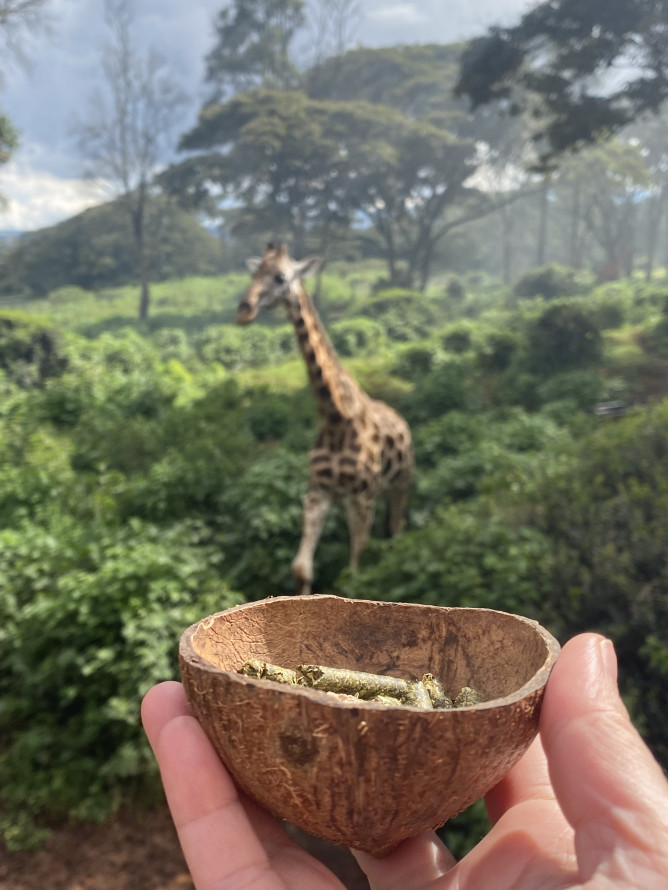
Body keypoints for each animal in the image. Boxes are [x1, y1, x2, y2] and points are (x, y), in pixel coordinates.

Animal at [237, 243, 414, 595]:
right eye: (254, 273)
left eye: (280, 277)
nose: (244, 310)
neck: (334, 417)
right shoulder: (318, 490)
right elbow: (301, 569)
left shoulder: (361, 495)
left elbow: (355, 570)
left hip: (400, 482)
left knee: (397, 527)